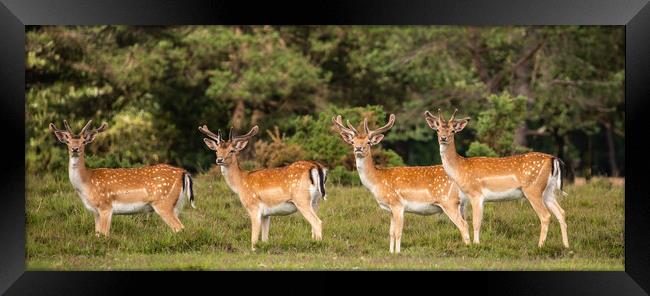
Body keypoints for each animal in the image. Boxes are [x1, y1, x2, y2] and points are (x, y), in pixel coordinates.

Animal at [49, 119, 194, 237]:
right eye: (67, 141)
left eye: (84, 141)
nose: (75, 149)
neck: (87, 183)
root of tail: (183, 172)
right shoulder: (95, 211)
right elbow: (97, 234)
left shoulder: (105, 206)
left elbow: (105, 234)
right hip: (175, 205)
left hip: (163, 203)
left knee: (180, 227)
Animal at [197, 123, 326, 251]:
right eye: (216, 150)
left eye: (232, 150)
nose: (219, 160)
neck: (240, 183)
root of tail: (317, 167)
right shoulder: (266, 214)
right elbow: (265, 238)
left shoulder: (253, 207)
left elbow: (254, 238)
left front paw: (253, 250)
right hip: (315, 201)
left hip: (301, 199)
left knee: (317, 222)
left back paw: (318, 246)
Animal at [332, 114, 468, 253]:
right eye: (353, 142)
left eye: (368, 142)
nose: (358, 148)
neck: (377, 181)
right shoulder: (391, 209)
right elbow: (391, 232)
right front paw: (391, 252)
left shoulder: (397, 204)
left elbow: (398, 232)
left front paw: (397, 252)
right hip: (461, 204)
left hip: (449, 201)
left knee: (463, 225)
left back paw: (468, 248)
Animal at [422, 108, 564, 247]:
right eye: (437, 129)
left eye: (453, 130)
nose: (443, 138)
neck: (461, 168)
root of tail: (553, 159)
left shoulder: (476, 193)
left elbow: (476, 222)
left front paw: (476, 244)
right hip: (548, 190)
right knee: (561, 212)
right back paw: (565, 245)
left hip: (533, 189)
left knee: (545, 215)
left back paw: (540, 246)